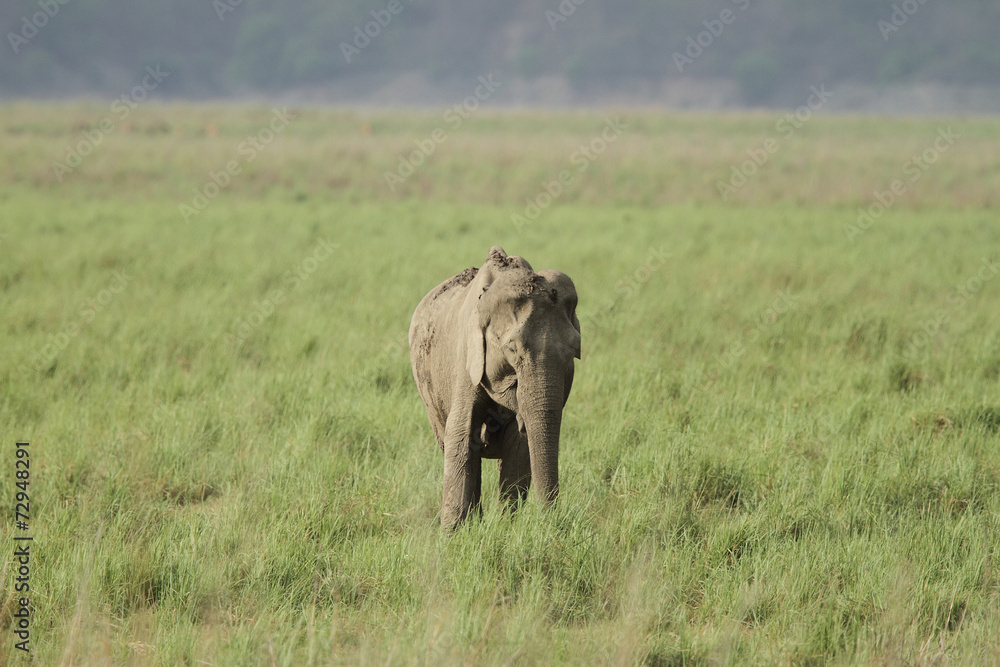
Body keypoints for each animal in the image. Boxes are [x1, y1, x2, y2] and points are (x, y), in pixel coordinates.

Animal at [406, 248, 580, 528]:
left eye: (574, 351)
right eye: (512, 349)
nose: (553, 524)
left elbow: (519, 444)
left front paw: (507, 526)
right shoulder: (467, 358)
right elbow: (461, 434)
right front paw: (451, 533)